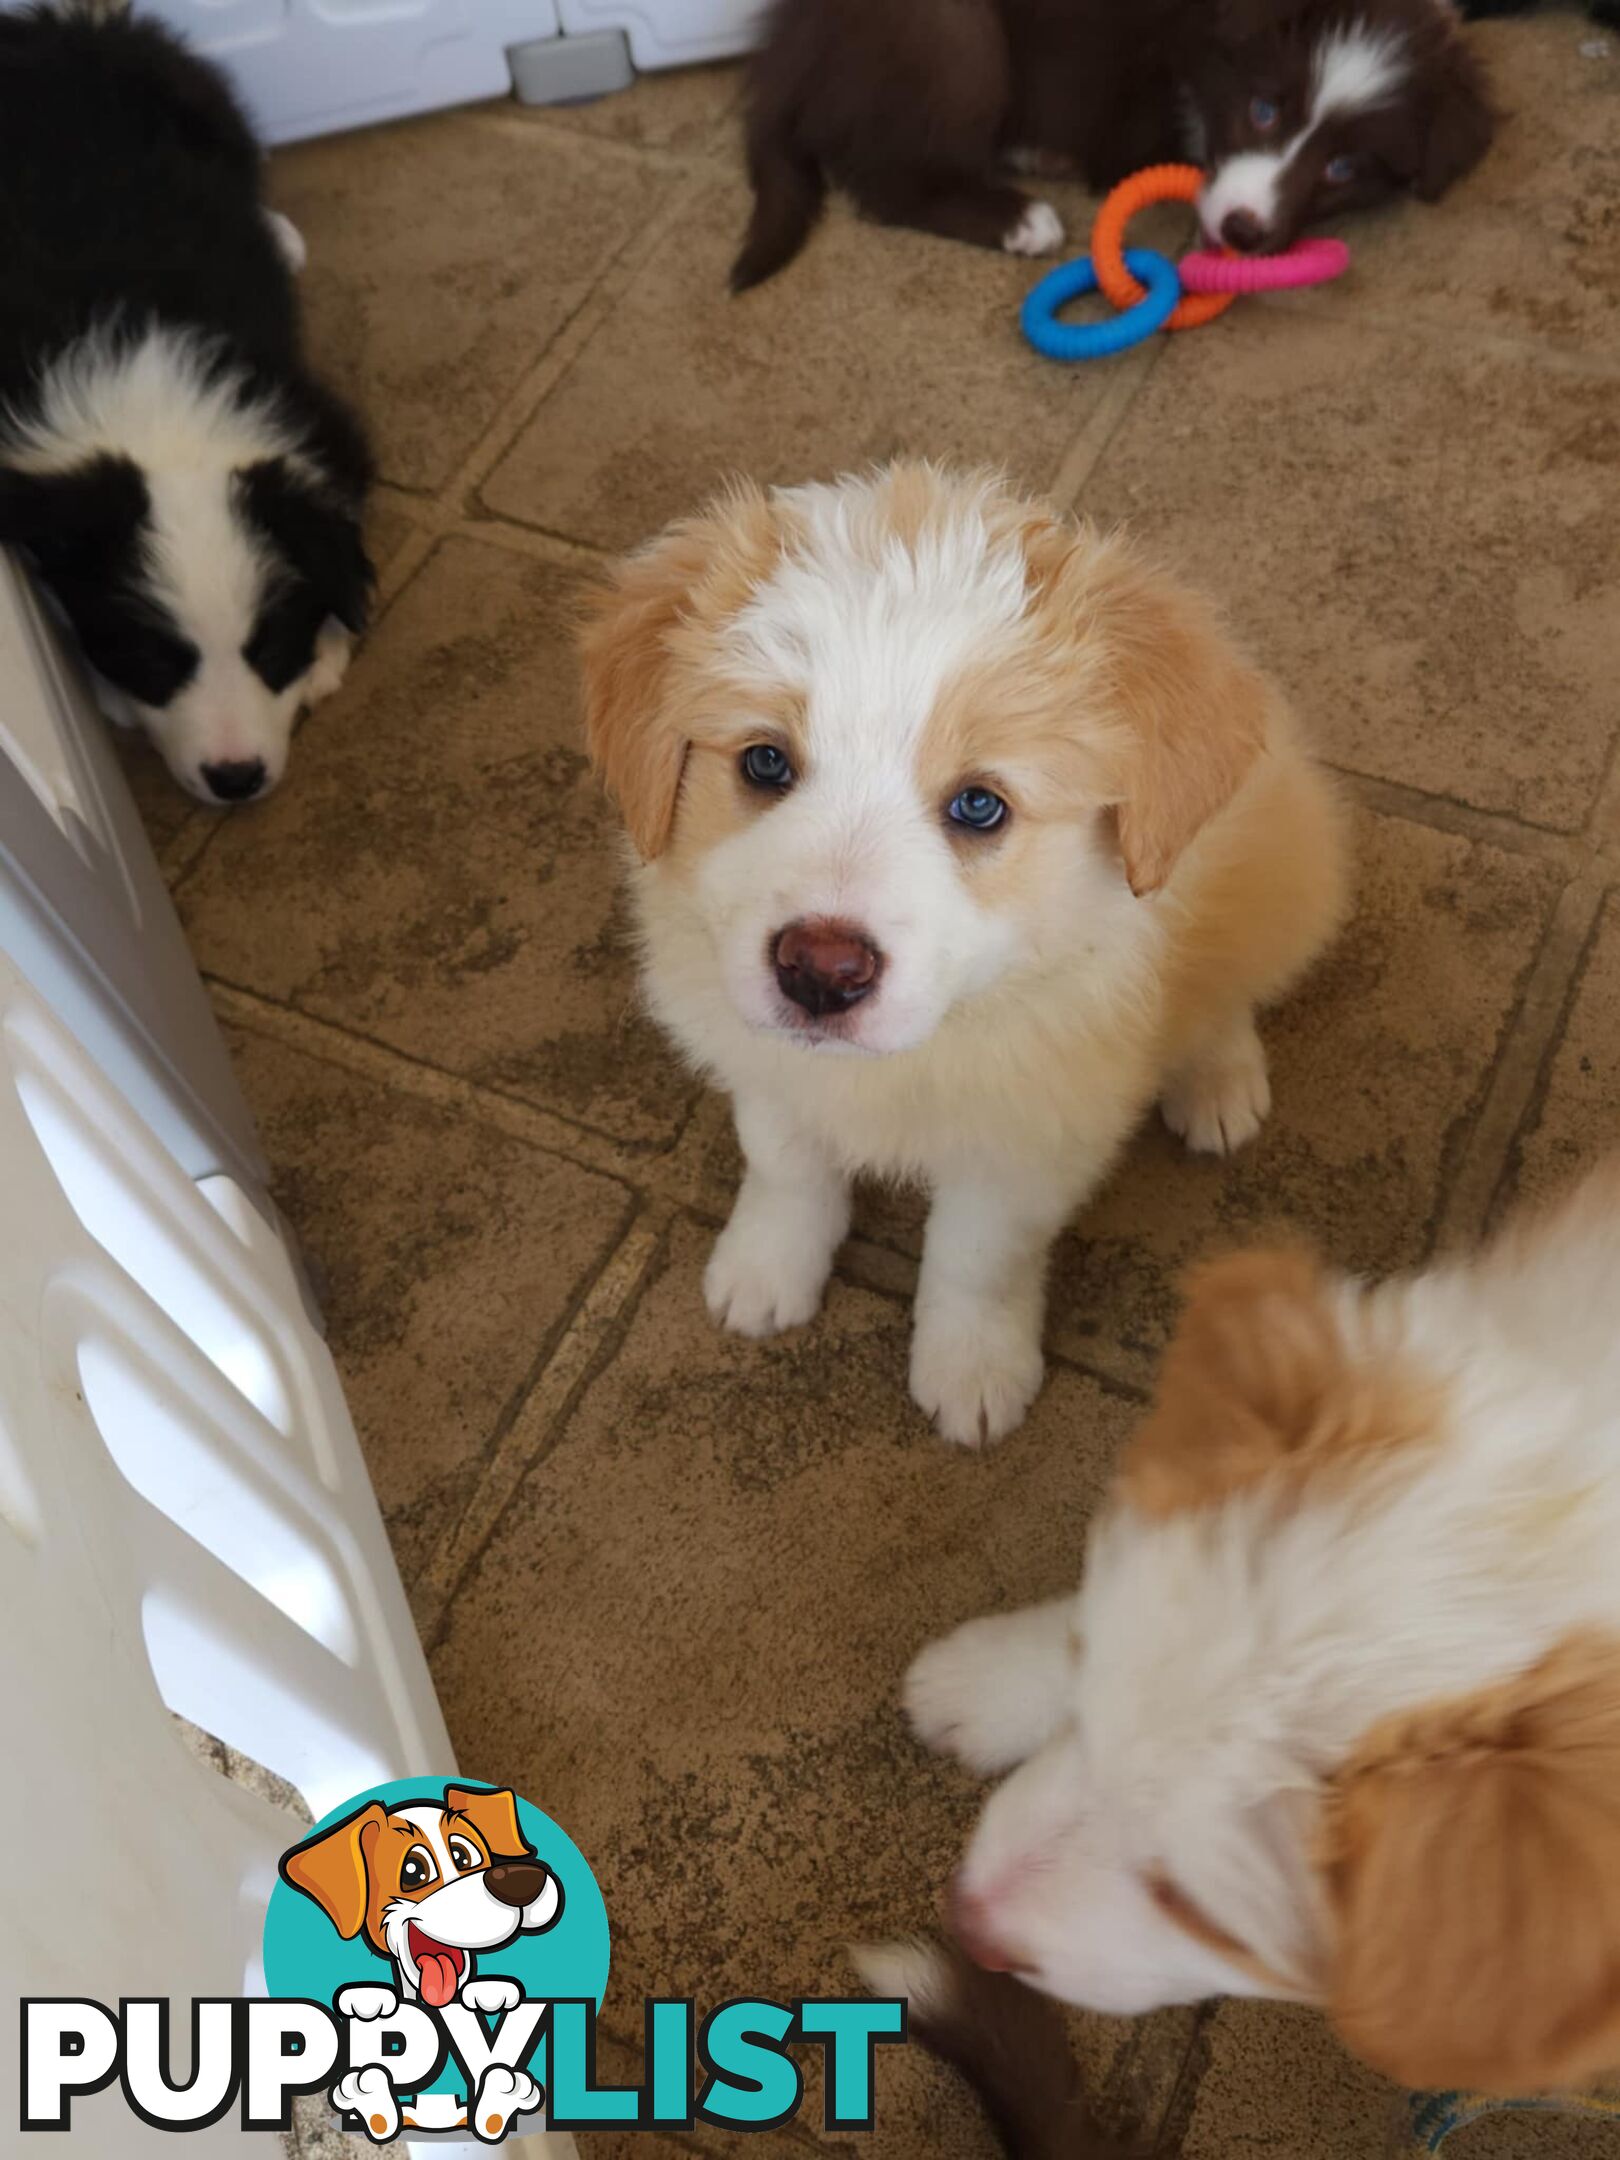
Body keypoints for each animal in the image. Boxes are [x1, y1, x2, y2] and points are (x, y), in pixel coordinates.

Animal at [0, 0, 371, 803]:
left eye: (270, 647)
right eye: (151, 660)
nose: (235, 779)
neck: (155, 402)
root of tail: (58, 25)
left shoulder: (316, 421)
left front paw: (327, 650)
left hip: (200, 98)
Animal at [578, 473, 1347, 1451]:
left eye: (980, 806)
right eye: (764, 763)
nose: (819, 973)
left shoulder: (1026, 1139)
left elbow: (977, 1257)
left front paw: (974, 1371)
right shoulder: (764, 1060)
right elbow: (786, 1165)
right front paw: (763, 1271)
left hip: (1289, 872)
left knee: (1227, 987)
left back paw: (1216, 1082)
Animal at [734, 0, 1494, 291]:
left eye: (1342, 167)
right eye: (1264, 110)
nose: (1243, 233)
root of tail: (791, 43)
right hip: (946, 32)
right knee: (890, 178)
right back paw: (1018, 216)